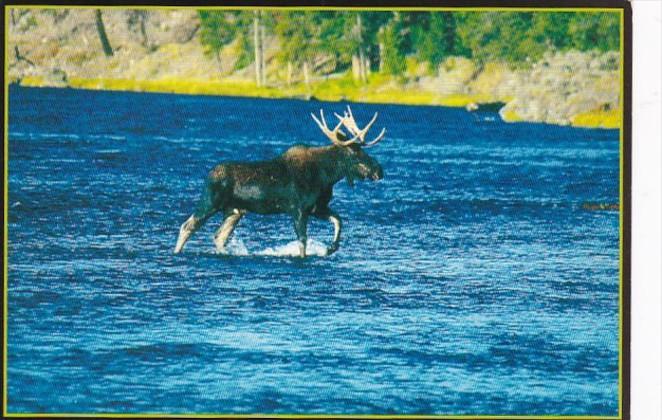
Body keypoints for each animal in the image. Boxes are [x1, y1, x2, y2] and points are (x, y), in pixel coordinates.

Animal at [174, 105, 386, 256]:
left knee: (218, 236)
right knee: (187, 226)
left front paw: (330, 248)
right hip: (210, 202)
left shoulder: (317, 208)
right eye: (355, 153)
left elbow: (339, 221)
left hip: (234, 211)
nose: (379, 170)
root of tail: (208, 174)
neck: (327, 176)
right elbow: (303, 242)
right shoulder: (298, 209)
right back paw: (176, 253)